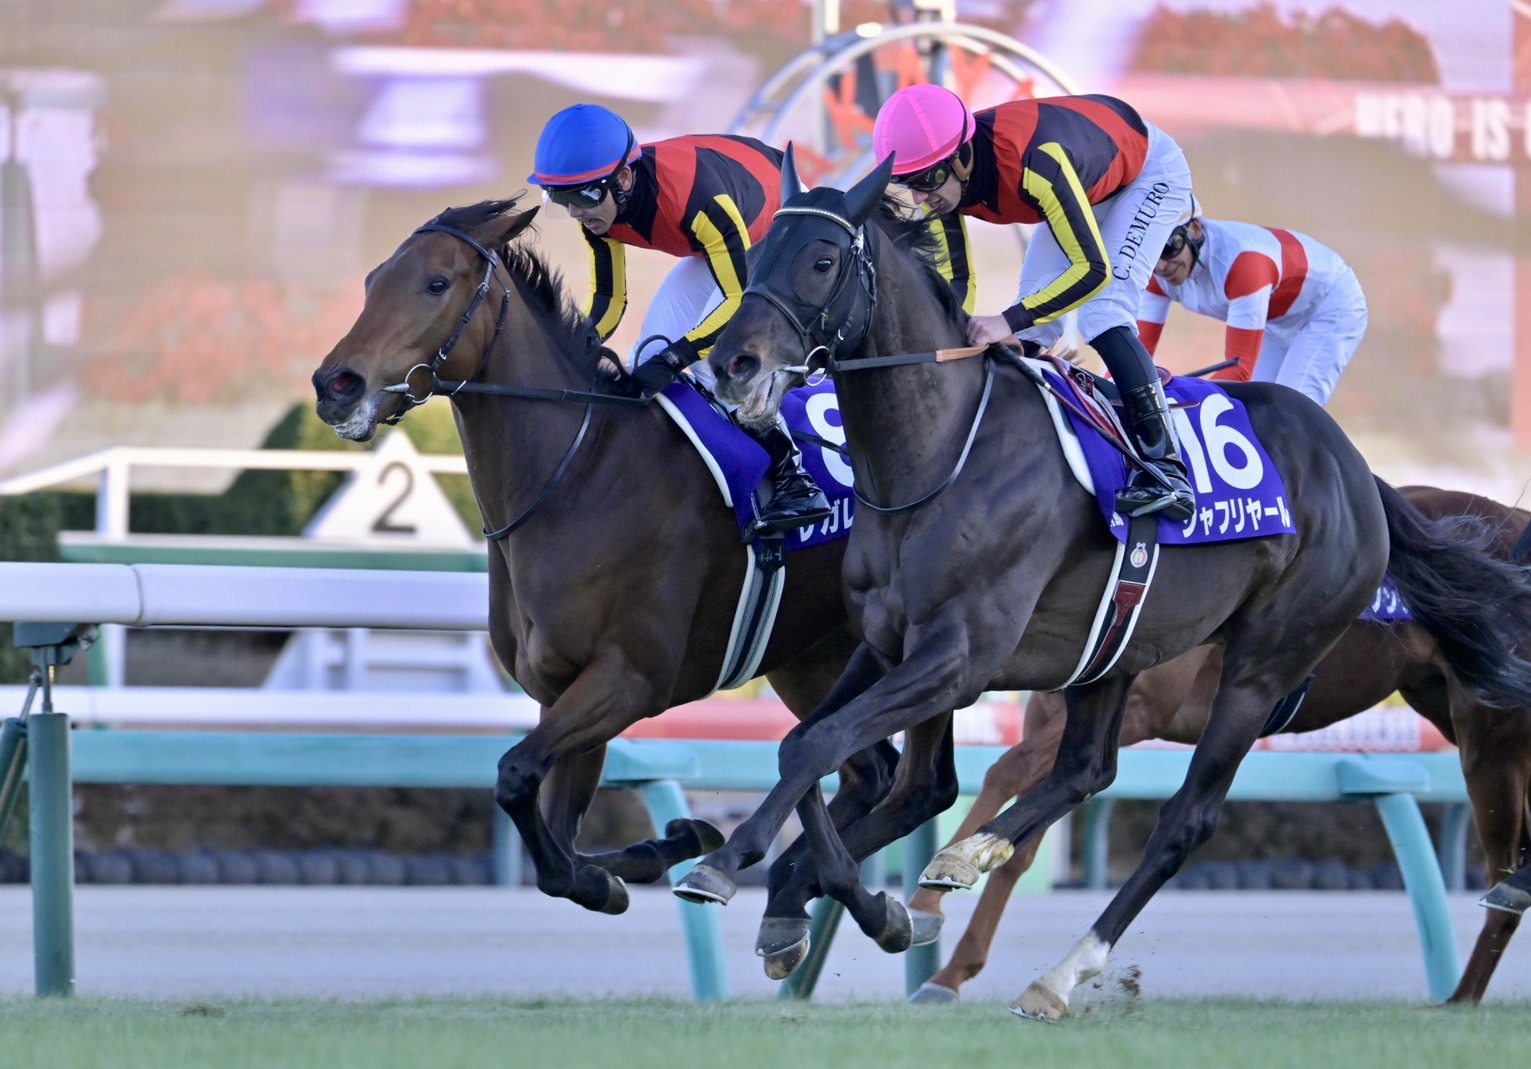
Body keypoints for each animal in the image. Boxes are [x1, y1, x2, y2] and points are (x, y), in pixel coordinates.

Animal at [310, 198, 907, 916]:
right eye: (373, 280)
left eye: (435, 283)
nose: (336, 384)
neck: (580, 475)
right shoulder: (560, 687)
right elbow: (555, 837)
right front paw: (658, 848)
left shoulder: (628, 679)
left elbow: (516, 777)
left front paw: (638, 862)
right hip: (811, 655)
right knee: (861, 768)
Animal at [907, 484, 1531, 1007]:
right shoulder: (1055, 707)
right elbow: (1023, 835)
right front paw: (948, 966)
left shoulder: (1140, 709)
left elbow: (1008, 772)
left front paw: (928, 905)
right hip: (1446, 703)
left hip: (1489, 737)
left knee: (1504, 860)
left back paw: (1466, 986)